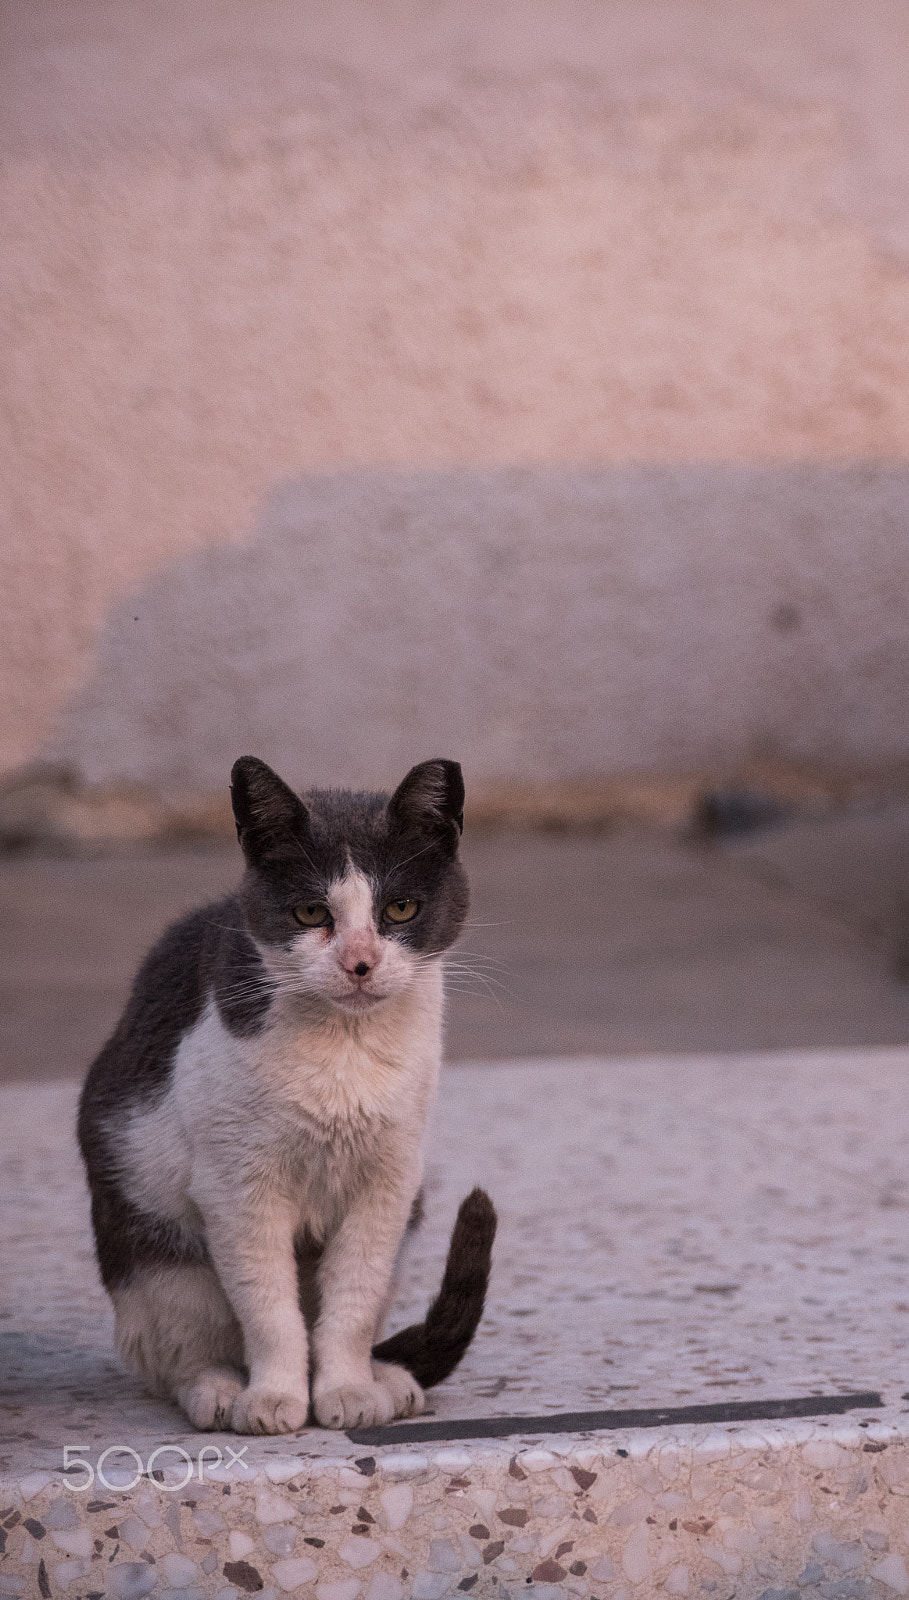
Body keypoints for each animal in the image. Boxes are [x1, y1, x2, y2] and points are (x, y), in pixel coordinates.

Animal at [76, 755, 496, 1433]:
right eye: (309, 914)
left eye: (401, 908)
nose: (360, 962)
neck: (345, 1049)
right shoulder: (238, 1190)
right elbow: (269, 1311)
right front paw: (274, 1398)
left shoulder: (389, 1183)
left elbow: (352, 1305)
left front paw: (348, 1390)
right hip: (161, 1252)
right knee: (173, 1357)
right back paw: (219, 1391)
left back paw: (388, 1379)